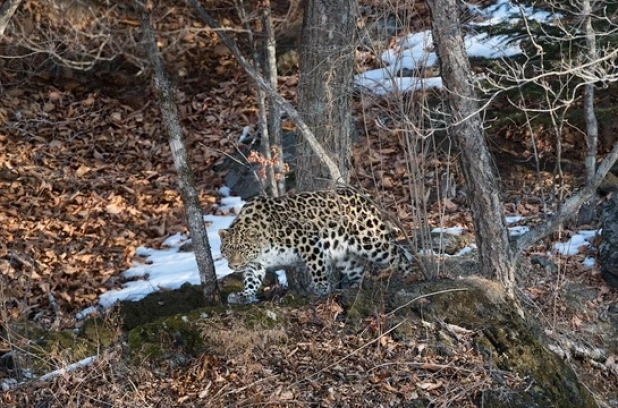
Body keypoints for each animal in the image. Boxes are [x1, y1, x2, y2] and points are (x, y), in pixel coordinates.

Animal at [217, 187, 410, 302]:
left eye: (243, 250)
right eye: (228, 250)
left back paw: (407, 278)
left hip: (371, 242)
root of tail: (362, 197)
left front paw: (321, 289)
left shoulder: (308, 242)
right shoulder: (255, 264)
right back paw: (354, 288)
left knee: (398, 254)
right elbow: (251, 280)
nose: (234, 265)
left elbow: (317, 268)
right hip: (344, 257)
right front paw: (244, 295)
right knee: (359, 270)